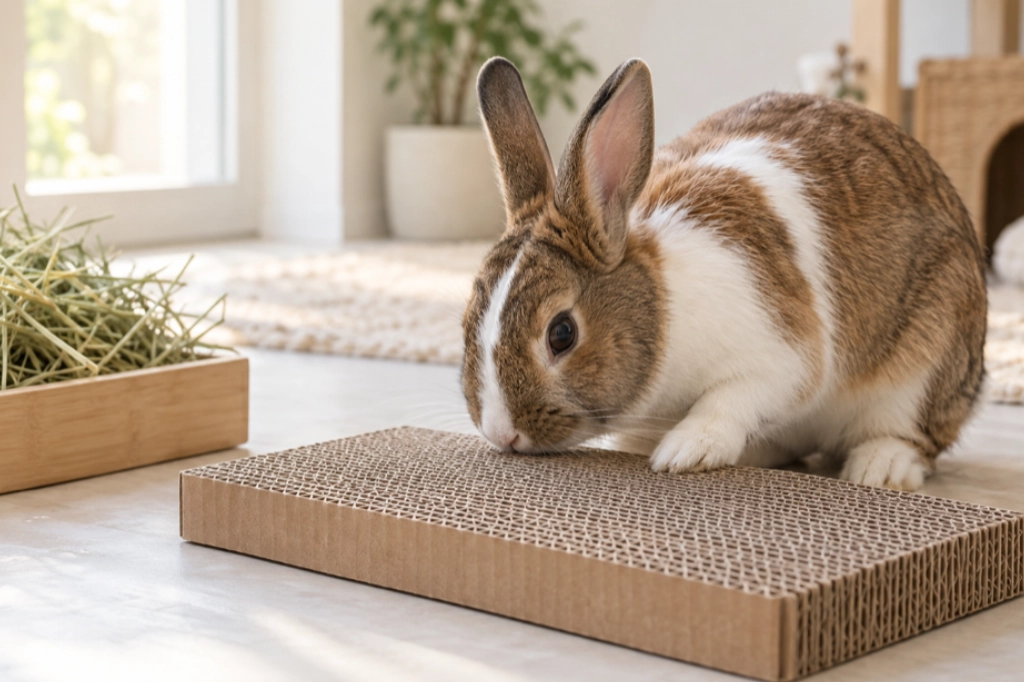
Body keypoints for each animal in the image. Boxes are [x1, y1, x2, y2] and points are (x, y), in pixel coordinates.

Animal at [461, 57, 987, 491]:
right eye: (468, 318)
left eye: (562, 333)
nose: (502, 434)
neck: (664, 307)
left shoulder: (782, 358)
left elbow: (729, 400)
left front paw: (684, 451)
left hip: (924, 367)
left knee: (914, 438)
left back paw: (880, 468)